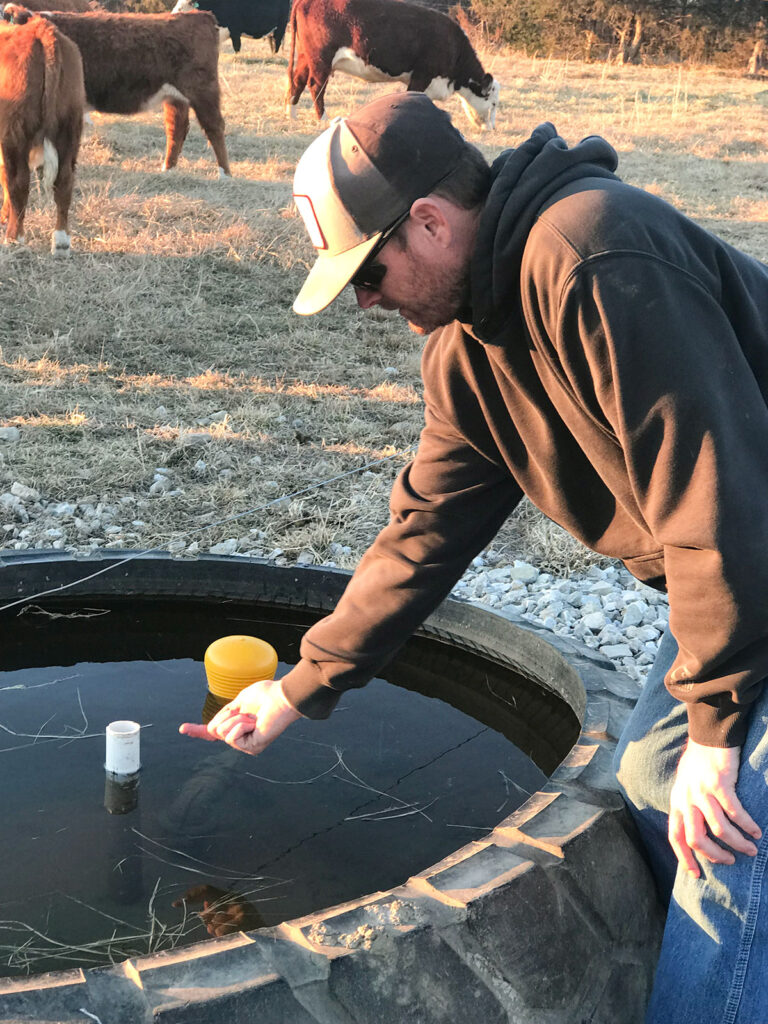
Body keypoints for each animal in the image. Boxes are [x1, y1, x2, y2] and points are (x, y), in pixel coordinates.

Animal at [0, 14, 84, 251]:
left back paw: (14, 237)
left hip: (14, 132)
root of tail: (41, 29)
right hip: (71, 126)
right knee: (65, 180)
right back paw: (61, 241)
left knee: (18, 181)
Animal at [3, 4, 231, 177]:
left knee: (214, 127)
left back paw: (225, 175)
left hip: (203, 90)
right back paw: (167, 170)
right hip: (174, 96)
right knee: (176, 129)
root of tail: (201, 16)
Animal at [286, 0, 499, 130]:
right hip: (321, 58)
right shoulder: (422, 76)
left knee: (298, 80)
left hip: (306, 56)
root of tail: (306, 2)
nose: (492, 127)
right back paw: (323, 119)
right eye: (494, 103)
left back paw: (292, 114)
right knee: (316, 86)